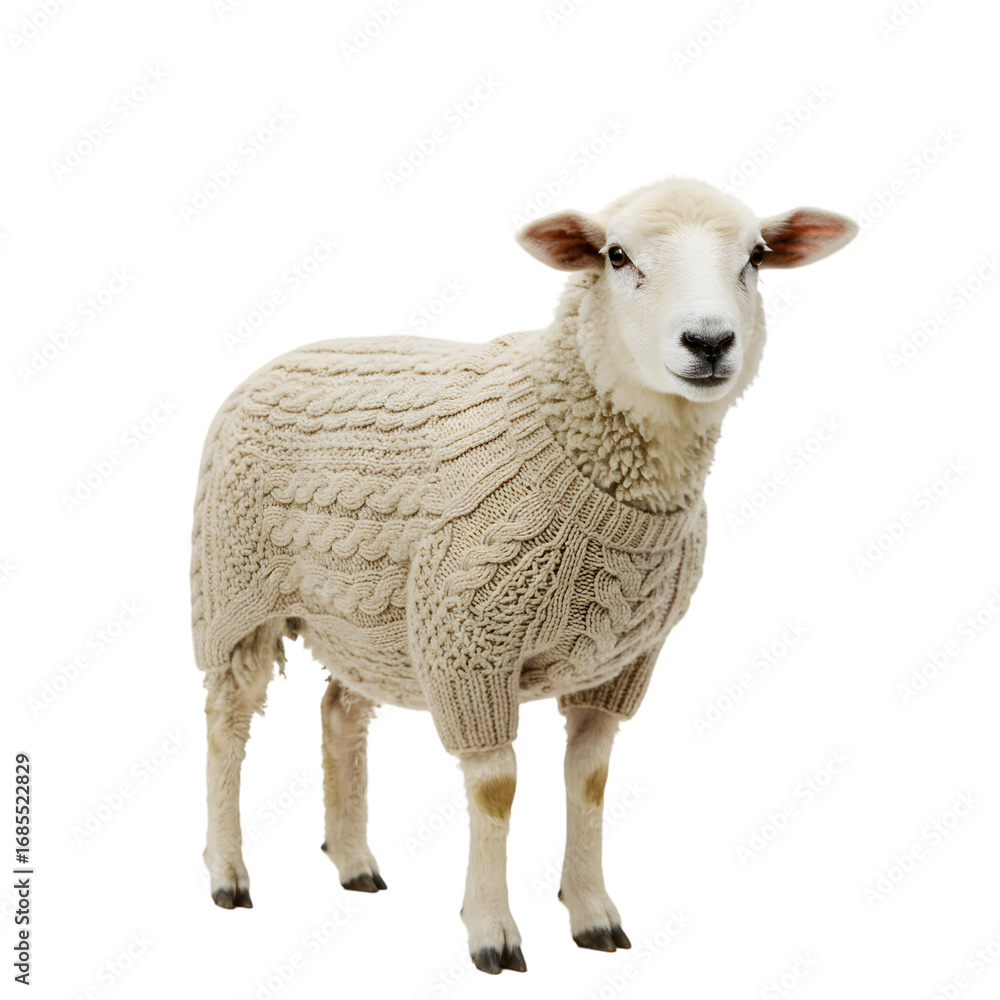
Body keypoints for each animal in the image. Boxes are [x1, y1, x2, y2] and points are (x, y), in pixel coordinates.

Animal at [190, 176, 857, 974]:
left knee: (340, 714)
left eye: (756, 256)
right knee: (226, 724)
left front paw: (593, 914)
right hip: (234, 595)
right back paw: (228, 874)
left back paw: (353, 861)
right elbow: (497, 790)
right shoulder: (467, 643)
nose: (709, 341)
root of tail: (286, 354)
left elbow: (590, 780)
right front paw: (491, 931)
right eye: (616, 255)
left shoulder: (621, 663)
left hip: (368, 619)